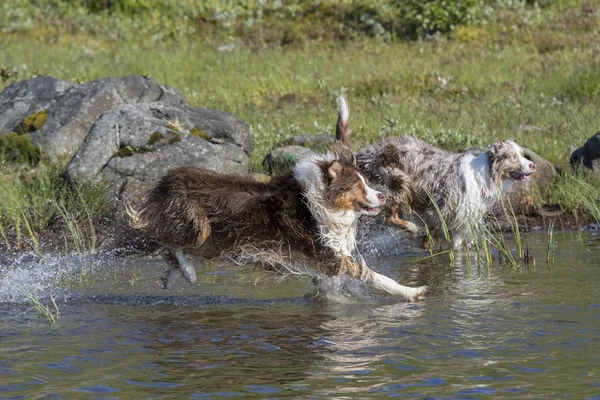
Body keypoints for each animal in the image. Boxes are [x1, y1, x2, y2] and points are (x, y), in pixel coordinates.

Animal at [127, 98, 426, 300]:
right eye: (357, 186)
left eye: (366, 182)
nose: (383, 195)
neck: (321, 203)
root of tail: (168, 178)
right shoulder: (329, 257)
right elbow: (374, 276)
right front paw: (411, 291)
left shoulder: (324, 263)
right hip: (200, 227)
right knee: (165, 240)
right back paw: (187, 271)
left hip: (216, 238)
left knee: (171, 249)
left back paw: (175, 276)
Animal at [358, 135, 536, 247]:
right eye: (512, 157)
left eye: (523, 154)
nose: (533, 165)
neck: (485, 176)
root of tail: (375, 149)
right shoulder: (438, 213)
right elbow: (428, 238)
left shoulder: (460, 223)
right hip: (402, 181)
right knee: (390, 217)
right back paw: (411, 227)